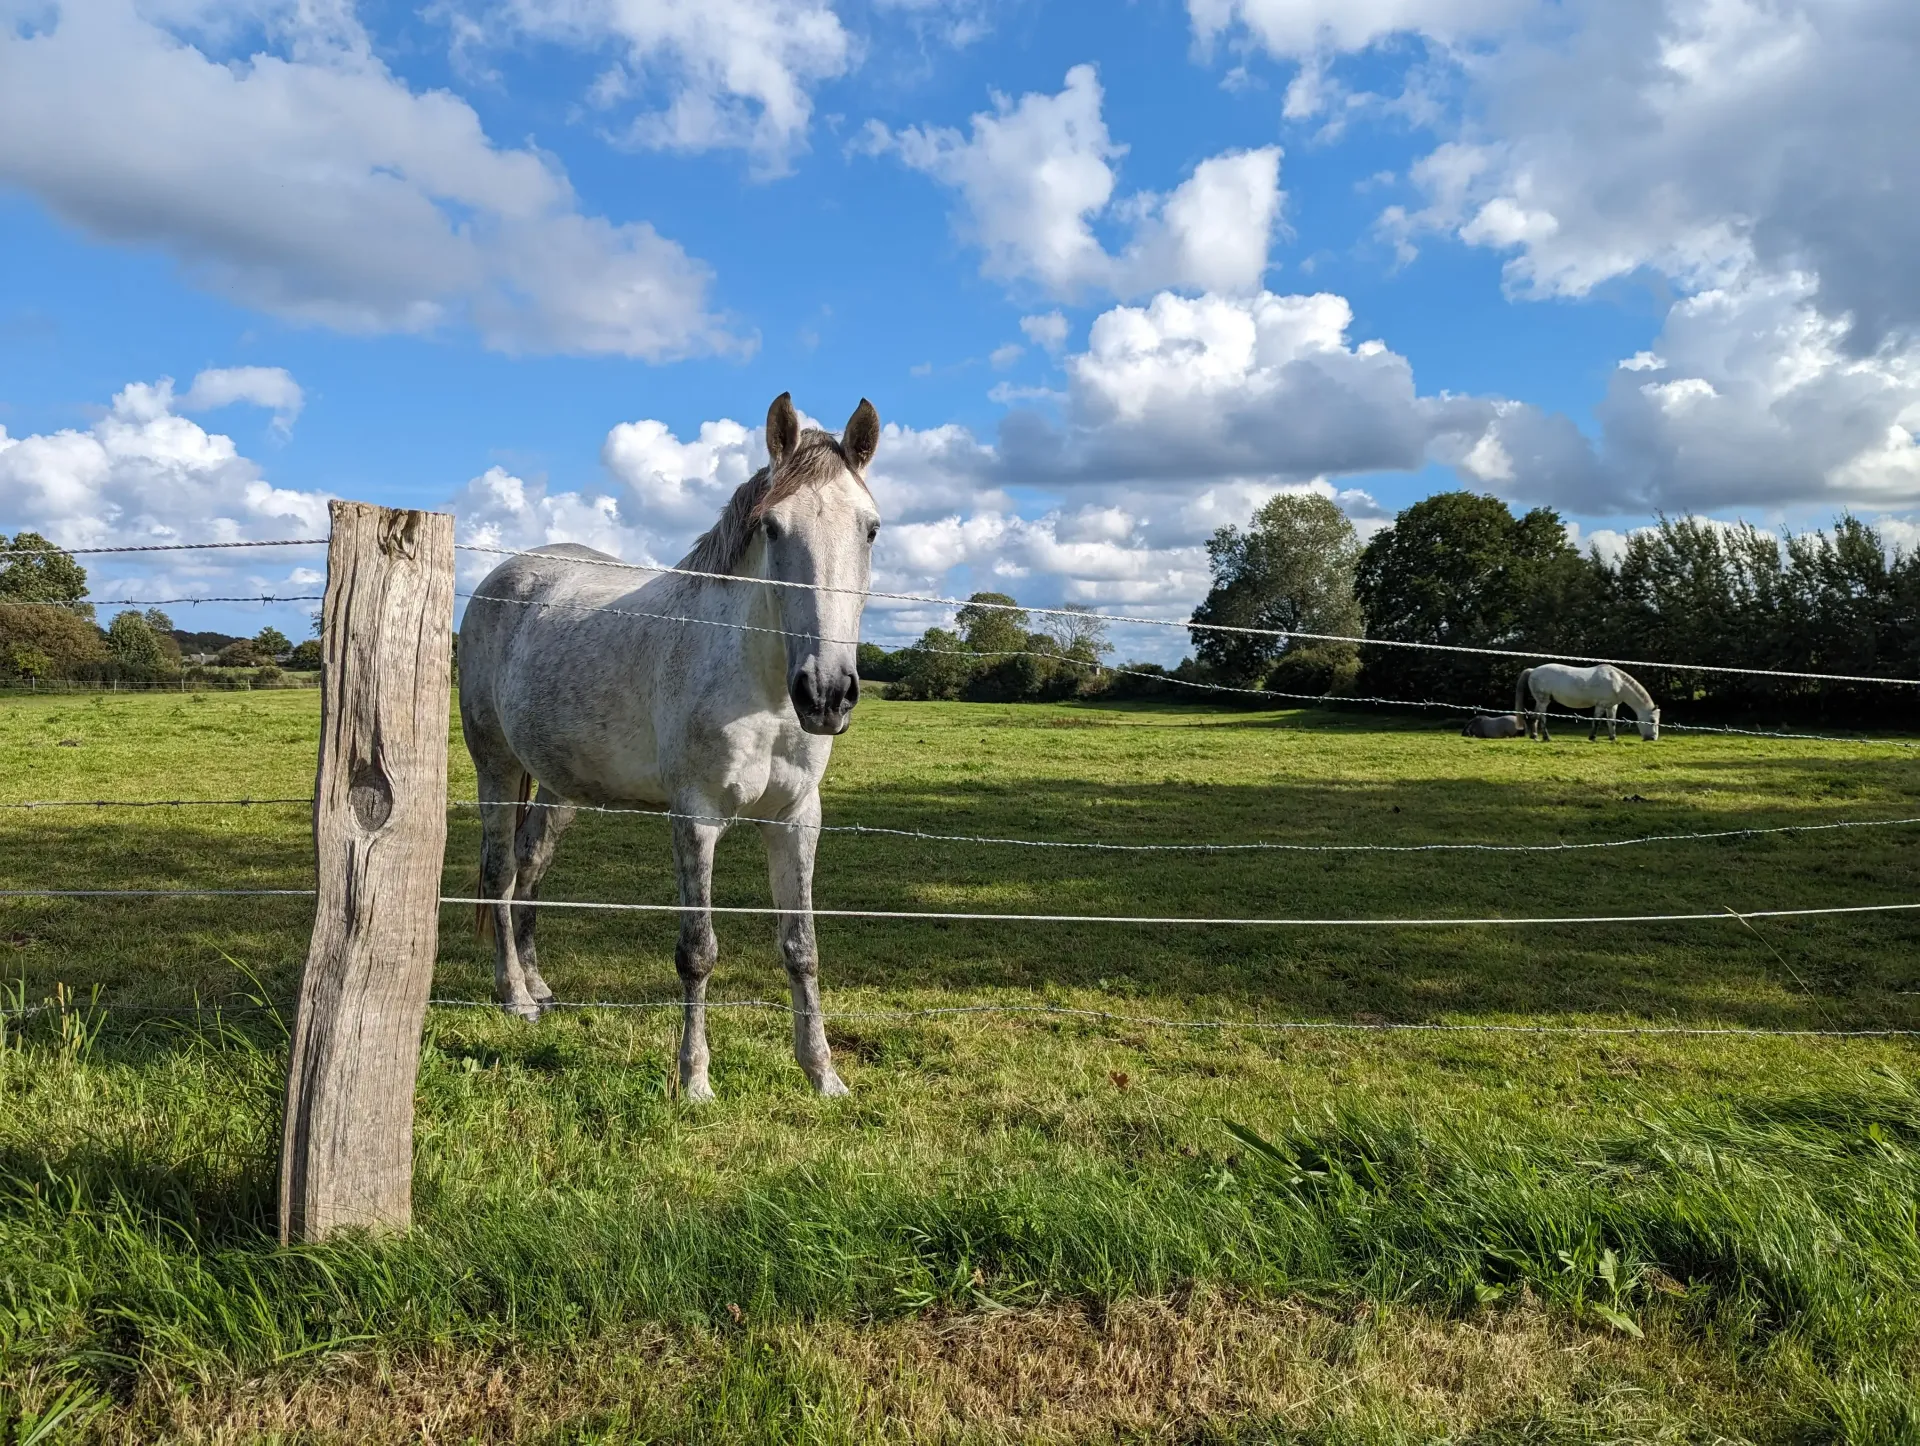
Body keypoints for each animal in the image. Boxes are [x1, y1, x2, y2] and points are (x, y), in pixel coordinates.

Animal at [457, 392, 882, 1100]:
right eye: (772, 528)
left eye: (870, 529)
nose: (826, 693)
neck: (757, 687)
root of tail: (502, 577)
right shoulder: (696, 818)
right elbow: (697, 951)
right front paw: (694, 1079)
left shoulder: (797, 819)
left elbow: (802, 948)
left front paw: (823, 1075)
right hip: (497, 766)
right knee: (500, 871)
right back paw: (513, 996)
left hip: (560, 786)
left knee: (532, 864)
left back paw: (539, 985)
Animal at [1514, 663, 1660, 742]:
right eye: (1652, 721)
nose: (1653, 738)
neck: (1618, 682)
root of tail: (1533, 671)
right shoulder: (1601, 705)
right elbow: (1597, 721)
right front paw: (1592, 737)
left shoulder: (1611, 706)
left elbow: (1611, 722)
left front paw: (1613, 738)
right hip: (1544, 701)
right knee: (1540, 717)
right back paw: (1545, 737)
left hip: (1540, 701)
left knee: (1534, 717)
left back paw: (1535, 736)